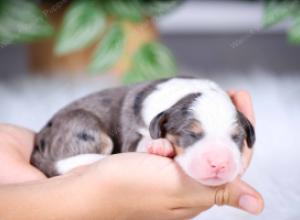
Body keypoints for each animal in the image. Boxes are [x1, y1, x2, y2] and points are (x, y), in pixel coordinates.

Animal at [31, 77, 255, 186]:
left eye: (237, 137)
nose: (220, 164)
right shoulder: (131, 137)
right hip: (86, 128)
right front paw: (161, 145)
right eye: (190, 134)